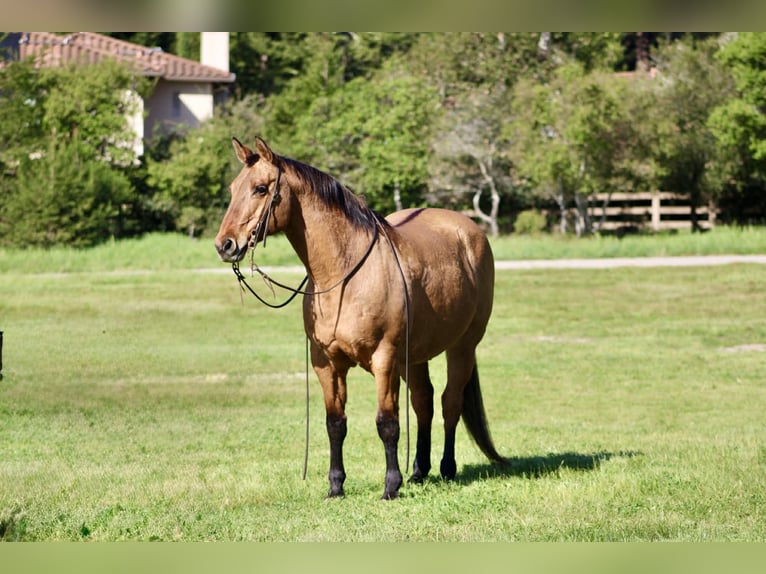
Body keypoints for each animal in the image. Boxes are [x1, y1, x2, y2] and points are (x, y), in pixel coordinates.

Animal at [215, 137, 505, 499]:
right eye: (232, 188)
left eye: (260, 188)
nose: (225, 245)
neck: (345, 275)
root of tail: (469, 231)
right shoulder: (327, 363)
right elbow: (335, 423)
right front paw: (336, 486)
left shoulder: (385, 359)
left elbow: (387, 423)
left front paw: (390, 486)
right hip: (415, 357)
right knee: (423, 402)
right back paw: (419, 471)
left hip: (462, 347)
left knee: (449, 402)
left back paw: (447, 469)